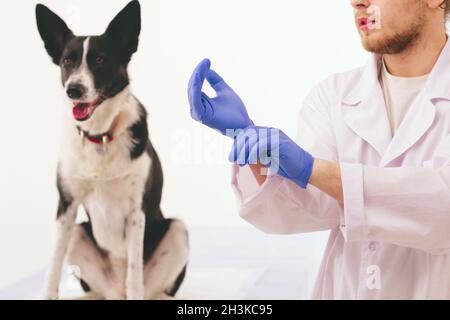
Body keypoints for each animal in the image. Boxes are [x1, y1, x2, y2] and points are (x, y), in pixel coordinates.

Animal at [35, 0, 188, 300]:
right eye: (67, 61)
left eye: (100, 60)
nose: (73, 90)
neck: (100, 137)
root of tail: (116, 292)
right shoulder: (66, 207)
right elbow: (53, 264)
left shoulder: (136, 210)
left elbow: (135, 273)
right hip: (78, 235)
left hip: (177, 230)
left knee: (146, 288)